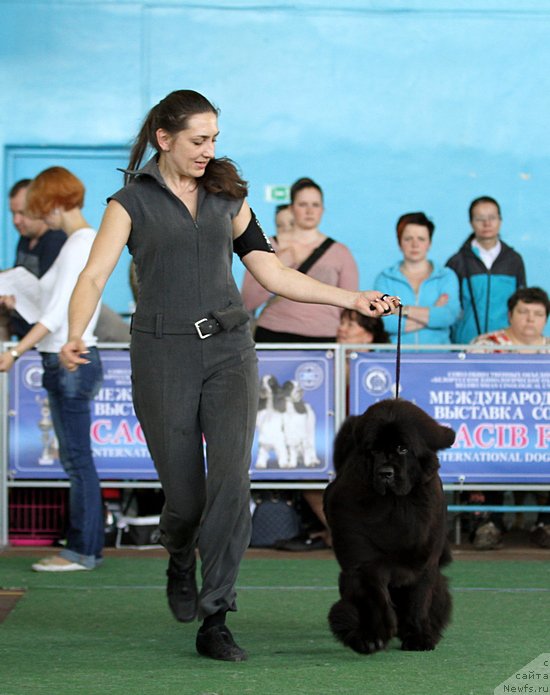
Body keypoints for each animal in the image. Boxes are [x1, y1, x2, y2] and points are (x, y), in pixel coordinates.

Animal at [324, 400, 458, 656]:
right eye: (374, 451)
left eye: (403, 449)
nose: (385, 473)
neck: (396, 505)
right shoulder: (362, 557)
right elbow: (373, 591)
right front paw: (373, 637)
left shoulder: (425, 560)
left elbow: (419, 598)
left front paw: (418, 637)